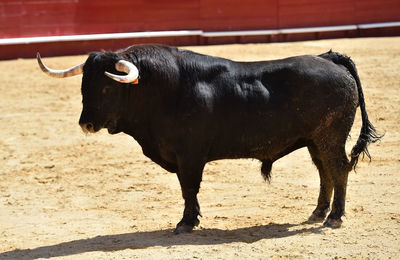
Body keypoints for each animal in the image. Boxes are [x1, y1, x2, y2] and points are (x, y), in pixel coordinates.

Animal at [37, 44, 382, 234]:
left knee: (338, 169)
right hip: (315, 140)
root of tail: (329, 58)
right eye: (84, 85)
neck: (161, 90)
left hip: (330, 136)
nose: (86, 124)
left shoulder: (189, 156)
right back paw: (318, 213)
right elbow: (187, 189)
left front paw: (186, 223)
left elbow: (189, 188)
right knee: (325, 172)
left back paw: (334, 218)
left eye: (108, 86)